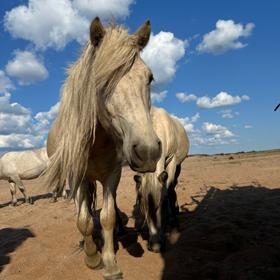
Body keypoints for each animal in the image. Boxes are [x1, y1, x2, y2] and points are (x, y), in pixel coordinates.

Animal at [45, 18, 161, 280]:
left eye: (149, 78)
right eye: (99, 80)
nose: (148, 151)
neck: (96, 142)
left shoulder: (112, 175)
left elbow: (106, 217)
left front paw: (110, 263)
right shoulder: (76, 178)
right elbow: (84, 220)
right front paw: (92, 257)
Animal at [134, 106, 190, 252]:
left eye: (164, 203)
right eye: (143, 204)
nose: (155, 246)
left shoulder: (172, 161)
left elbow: (169, 190)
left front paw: (174, 225)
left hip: (178, 165)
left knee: (173, 186)